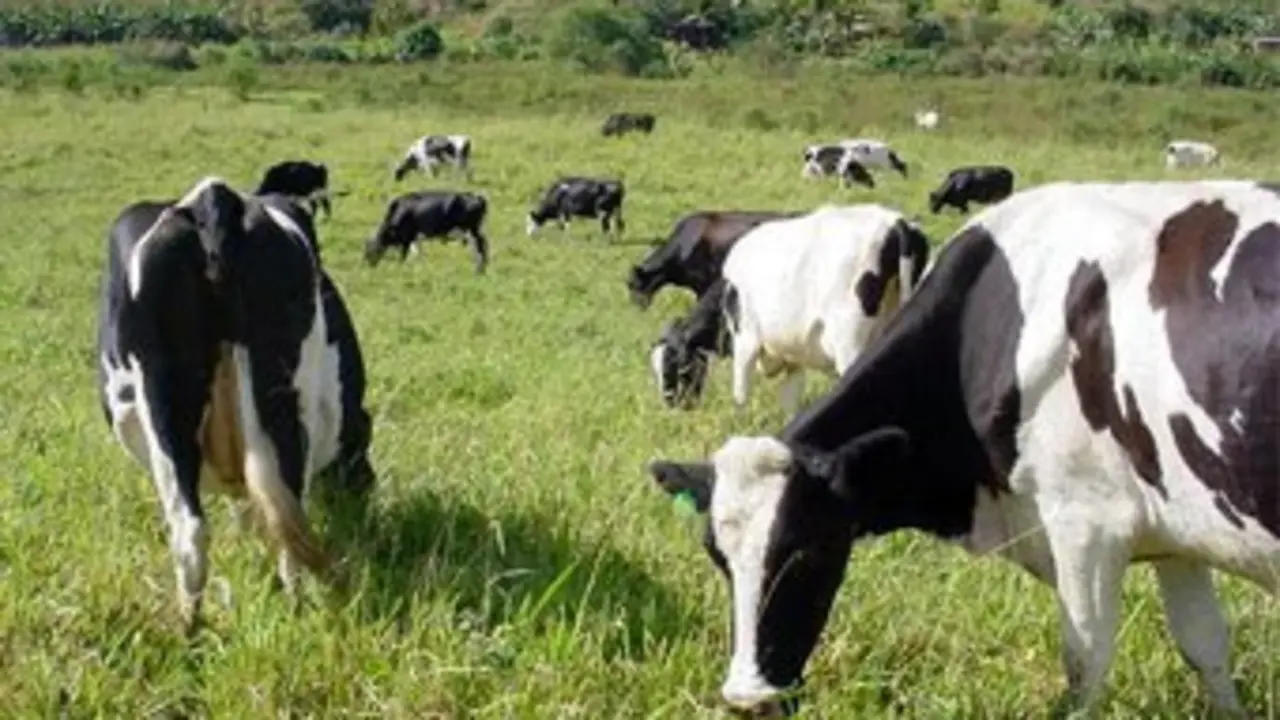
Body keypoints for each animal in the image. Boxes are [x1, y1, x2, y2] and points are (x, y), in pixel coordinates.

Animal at [96, 177, 375, 633]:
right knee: (277, 519)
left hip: (173, 407)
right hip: (277, 407)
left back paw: (193, 627)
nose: (364, 489)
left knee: (197, 531)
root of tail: (212, 199)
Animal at [651, 204, 930, 415]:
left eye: (673, 364)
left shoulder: (746, 342)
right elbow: (790, 405)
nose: (672, 407)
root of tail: (895, 222)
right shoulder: (793, 358)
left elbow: (740, 396)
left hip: (849, 342)